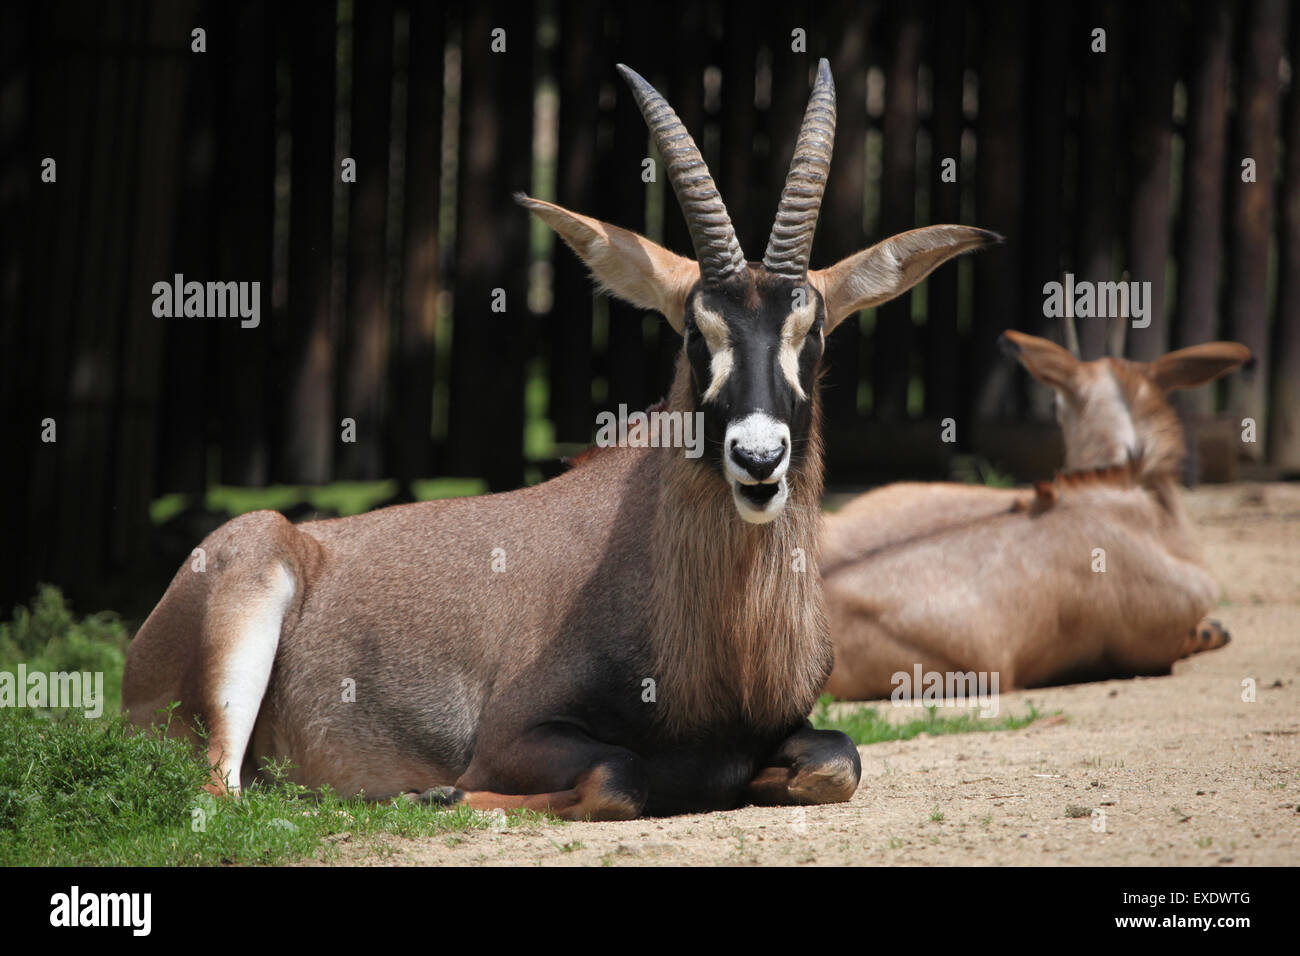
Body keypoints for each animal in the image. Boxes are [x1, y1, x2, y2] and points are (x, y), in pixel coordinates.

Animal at [122, 61, 993, 822]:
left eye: (812, 334)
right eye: (694, 333)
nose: (757, 461)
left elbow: (838, 761)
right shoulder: (515, 736)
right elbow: (620, 777)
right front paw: (440, 794)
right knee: (223, 795)